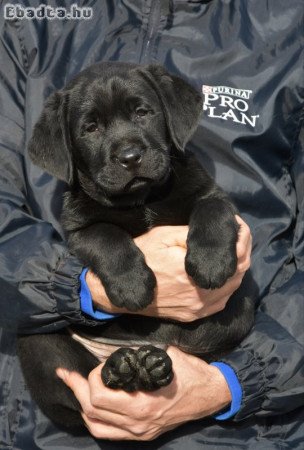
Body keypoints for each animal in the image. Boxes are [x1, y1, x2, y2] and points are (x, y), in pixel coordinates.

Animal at [18, 62, 254, 428]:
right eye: (90, 128)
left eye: (142, 112)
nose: (130, 157)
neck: (142, 198)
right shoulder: (79, 227)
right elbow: (107, 237)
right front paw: (132, 286)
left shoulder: (211, 194)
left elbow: (213, 210)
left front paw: (211, 263)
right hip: (39, 340)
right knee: (88, 382)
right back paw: (121, 368)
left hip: (240, 311)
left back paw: (153, 365)